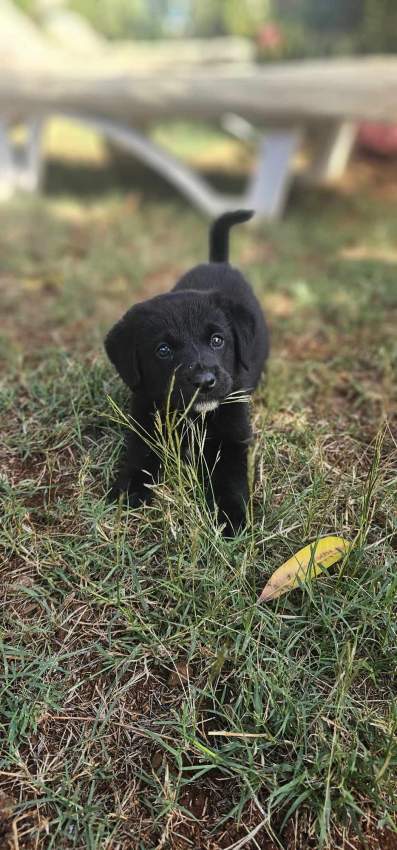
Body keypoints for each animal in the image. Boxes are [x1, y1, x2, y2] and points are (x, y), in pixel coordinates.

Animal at [103, 209, 268, 532]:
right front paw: (129, 491)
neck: (194, 417)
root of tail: (219, 263)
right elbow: (140, 457)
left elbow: (230, 480)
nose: (204, 380)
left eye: (217, 340)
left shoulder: (233, 436)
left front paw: (232, 518)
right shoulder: (146, 421)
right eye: (163, 350)